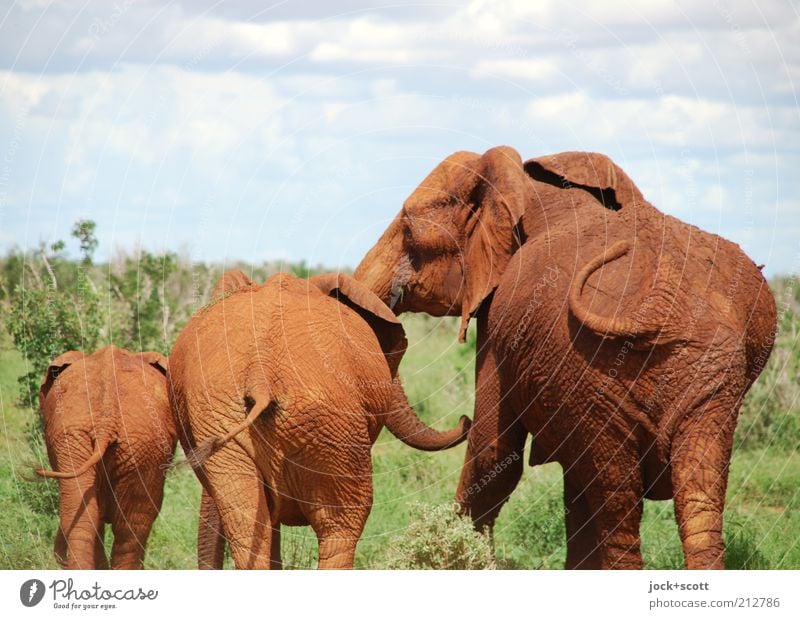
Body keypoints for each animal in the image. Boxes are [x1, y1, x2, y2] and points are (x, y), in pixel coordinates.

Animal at [169, 268, 468, 568]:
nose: (465, 419)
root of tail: (260, 374)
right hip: (330, 422)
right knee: (343, 526)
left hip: (228, 416)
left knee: (246, 525)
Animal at [354, 147, 776, 572]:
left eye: (408, 231)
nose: (460, 421)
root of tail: (663, 307)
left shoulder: (499, 321)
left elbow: (492, 455)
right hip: (704, 385)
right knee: (696, 493)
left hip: (596, 370)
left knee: (615, 498)